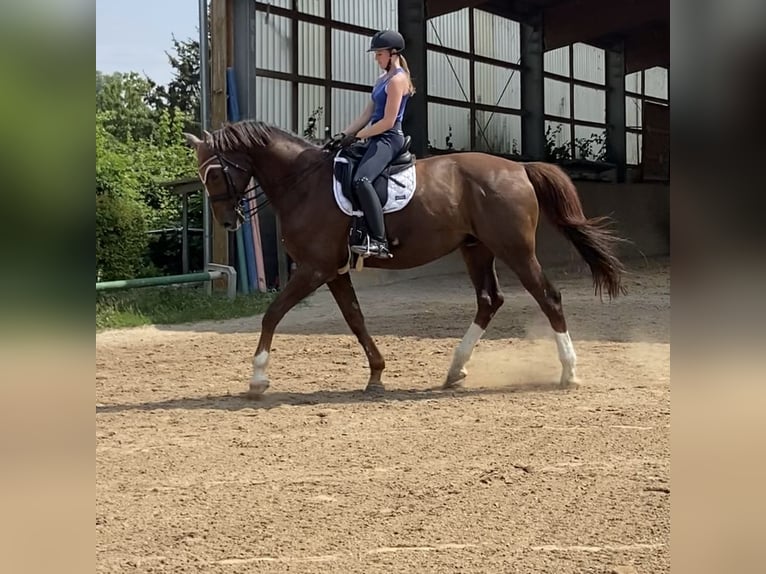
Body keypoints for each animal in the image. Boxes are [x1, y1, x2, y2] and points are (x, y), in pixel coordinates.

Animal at [183, 120, 628, 400]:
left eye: (216, 173)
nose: (228, 221)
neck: (305, 184)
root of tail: (518, 168)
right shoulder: (334, 271)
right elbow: (355, 319)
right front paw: (377, 374)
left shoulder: (314, 269)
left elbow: (272, 314)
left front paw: (258, 378)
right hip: (476, 249)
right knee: (489, 300)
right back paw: (454, 370)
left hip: (514, 250)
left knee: (548, 297)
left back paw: (569, 372)